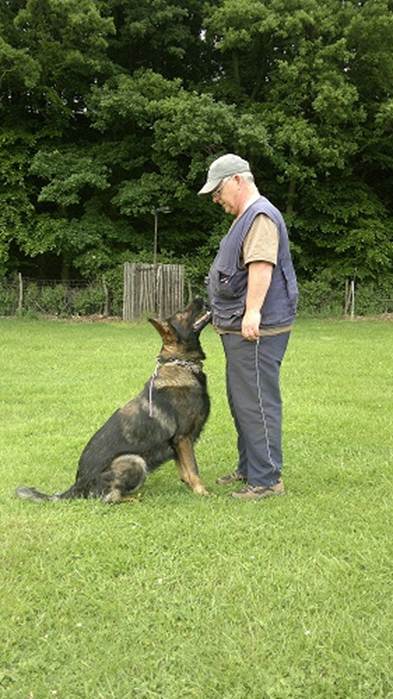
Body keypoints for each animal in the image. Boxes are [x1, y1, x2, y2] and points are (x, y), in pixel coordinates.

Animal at [16, 300, 211, 504]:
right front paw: (202, 492)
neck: (181, 364)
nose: (200, 298)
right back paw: (134, 498)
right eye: (182, 313)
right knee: (109, 498)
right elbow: (193, 469)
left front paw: (191, 488)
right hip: (135, 461)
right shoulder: (183, 438)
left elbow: (185, 471)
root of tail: (78, 485)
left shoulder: (177, 444)